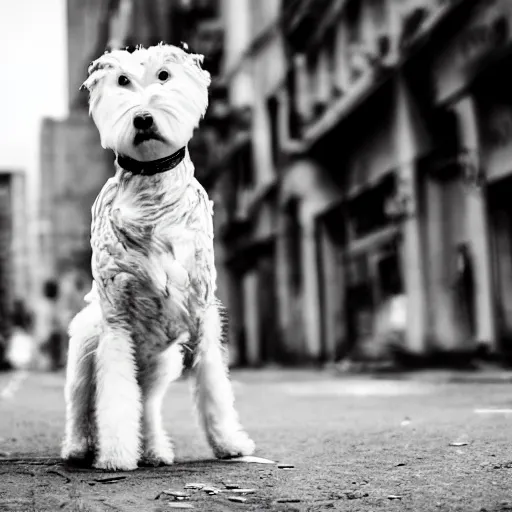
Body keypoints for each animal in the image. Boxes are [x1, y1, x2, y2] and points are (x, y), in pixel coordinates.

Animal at [61, 44, 256, 472]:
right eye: (121, 81)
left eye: (164, 75)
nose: (143, 117)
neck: (152, 191)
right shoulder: (117, 325)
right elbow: (115, 399)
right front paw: (116, 456)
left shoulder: (202, 313)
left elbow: (214, 385)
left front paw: (230, 443)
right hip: (86, 350)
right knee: (83, 402)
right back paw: (80, 448)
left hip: (160, 364)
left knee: (147, 404)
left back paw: (153, 450)